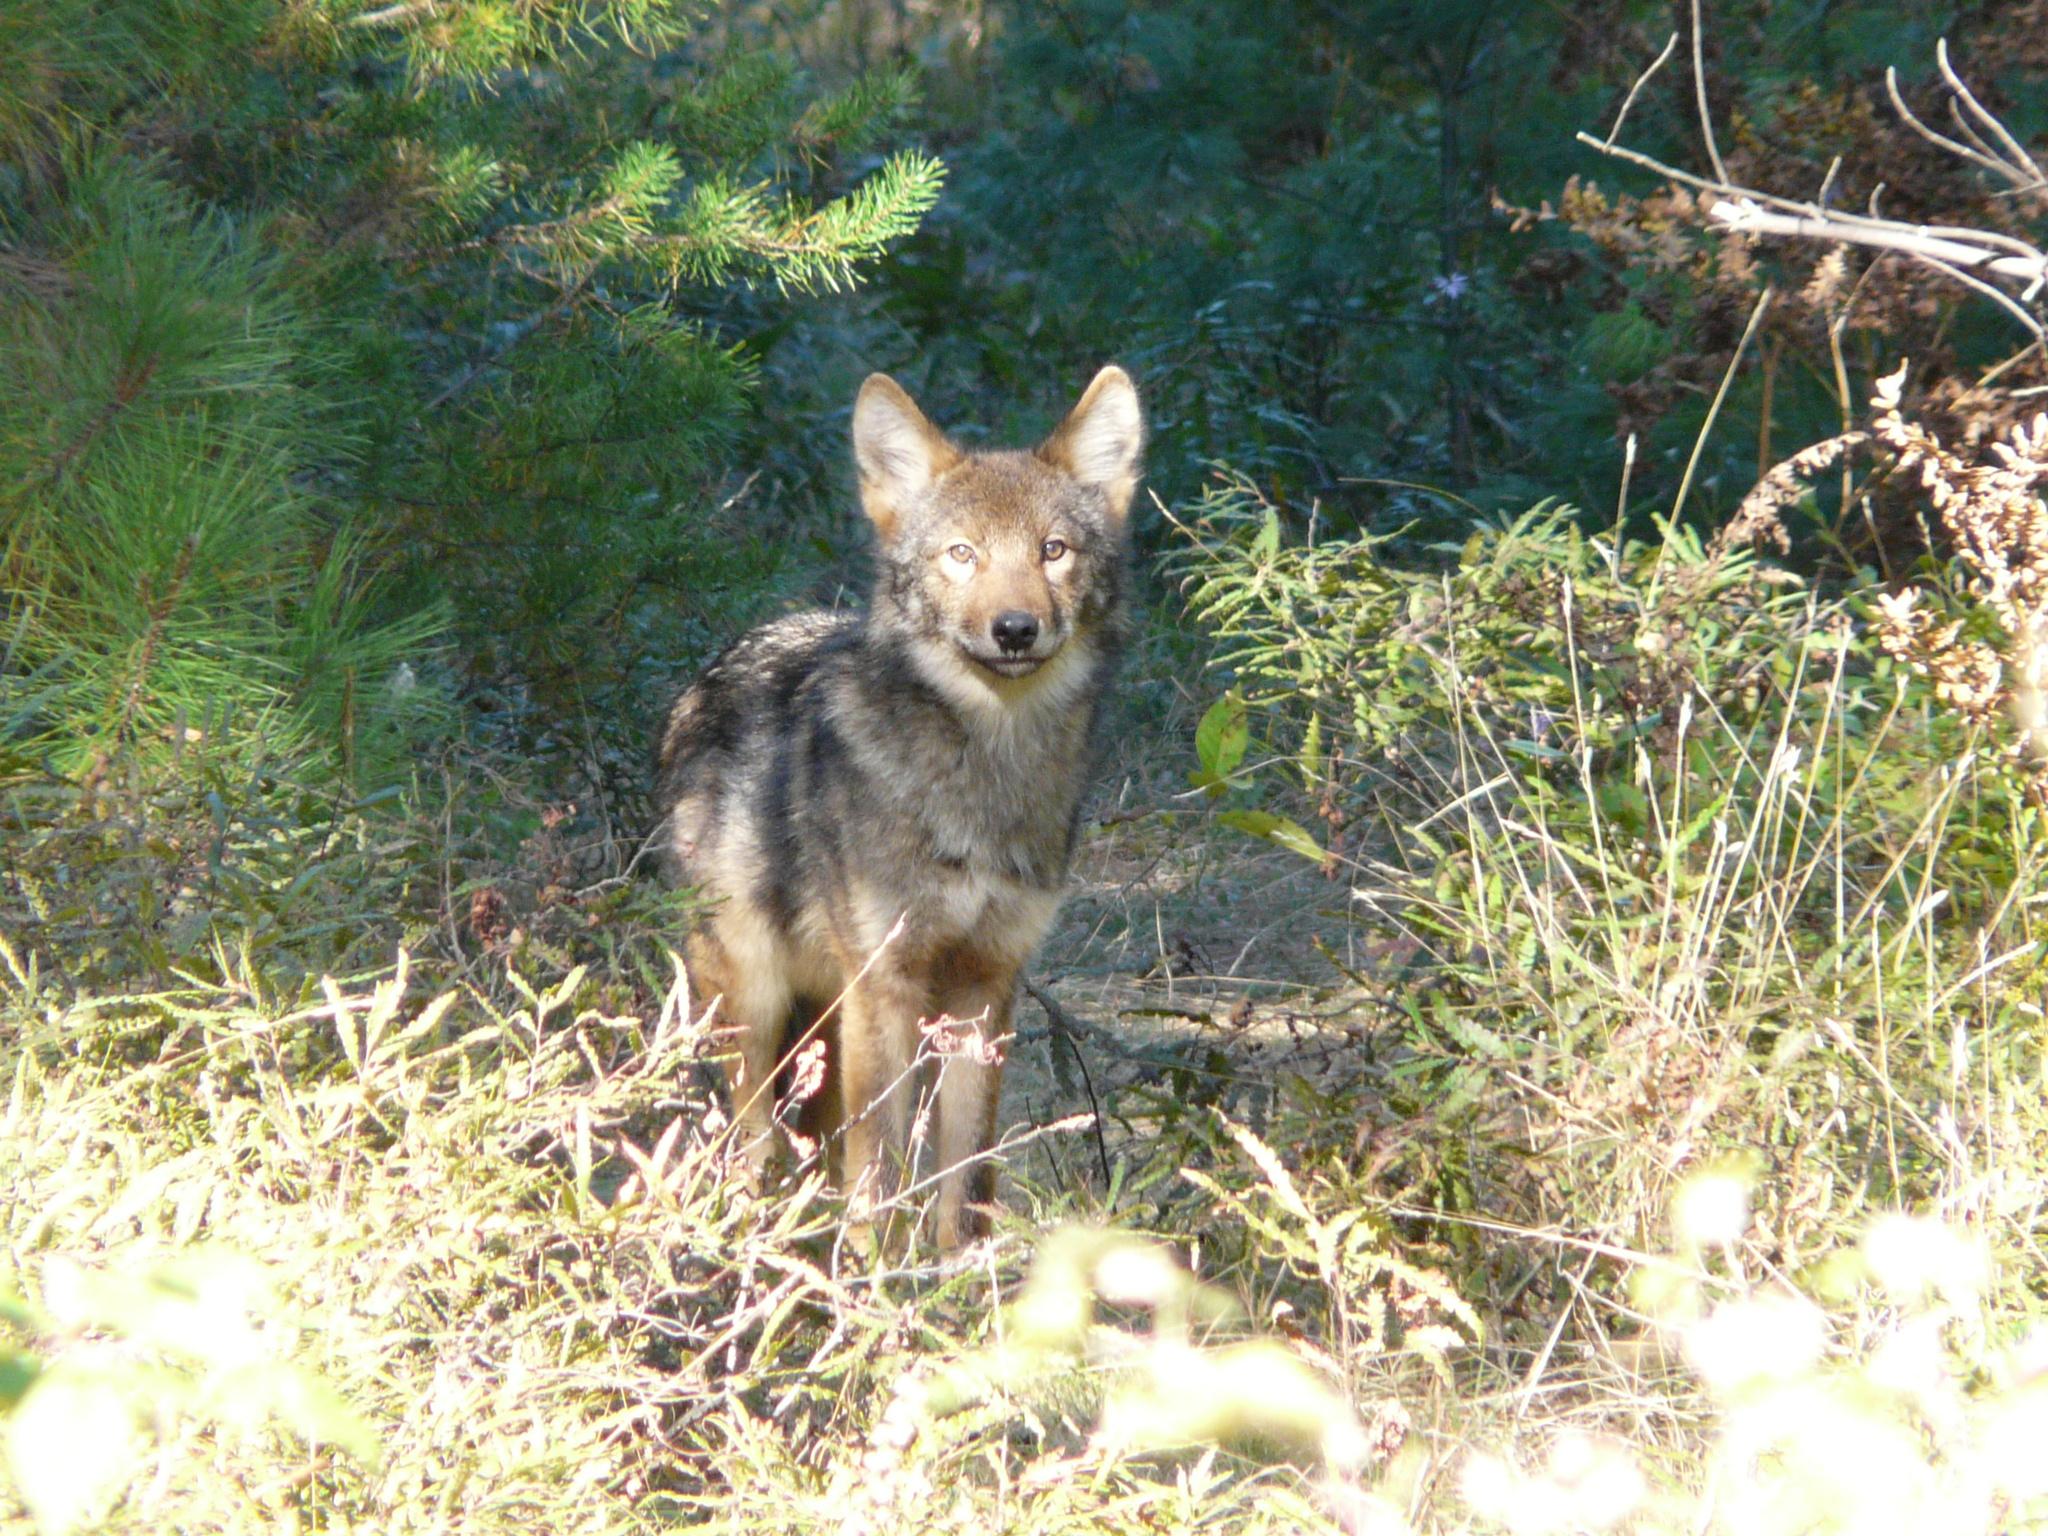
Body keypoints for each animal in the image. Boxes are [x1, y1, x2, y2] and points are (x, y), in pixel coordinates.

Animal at [653, 366, 1143, 1249]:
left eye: (1053, 551)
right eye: (962, 554)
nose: (1014, 629)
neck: (985, 778)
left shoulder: (986, 984)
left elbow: (967, 1176)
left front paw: (958, 1274)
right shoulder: (886, 982)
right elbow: (880, 1169)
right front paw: (879, 1272)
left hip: (826, 1016)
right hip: (757, 1004)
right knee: (751, 1141)